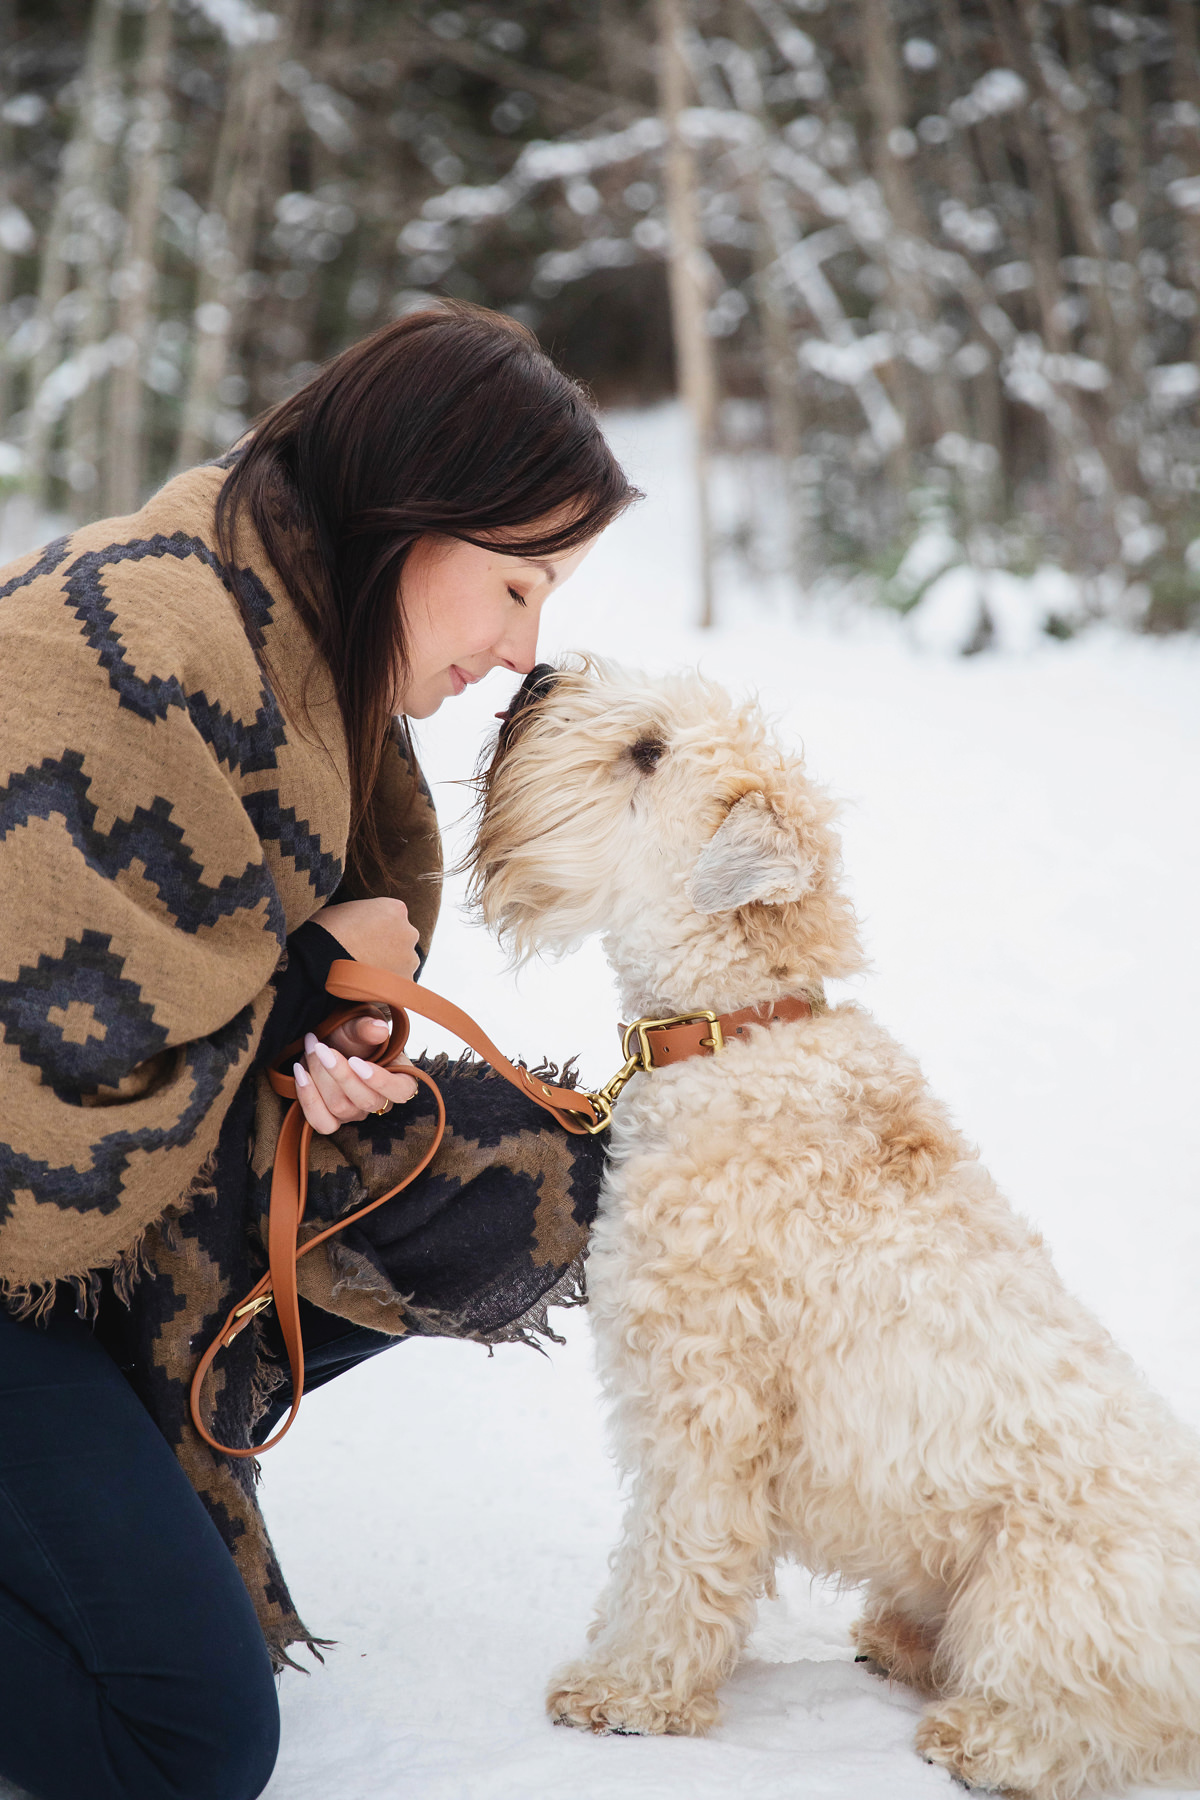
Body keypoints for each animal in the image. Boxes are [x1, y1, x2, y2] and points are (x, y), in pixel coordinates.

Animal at [474, 662, 1200, 1800]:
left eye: (647, 751)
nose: (539, 675)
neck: (736, 1033)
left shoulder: (700, 1400)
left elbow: (672, 1556)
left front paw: (627, 1693)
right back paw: (900, 1643)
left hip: (1045, 1582)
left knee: (1092, 1715)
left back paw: (982, 1738)